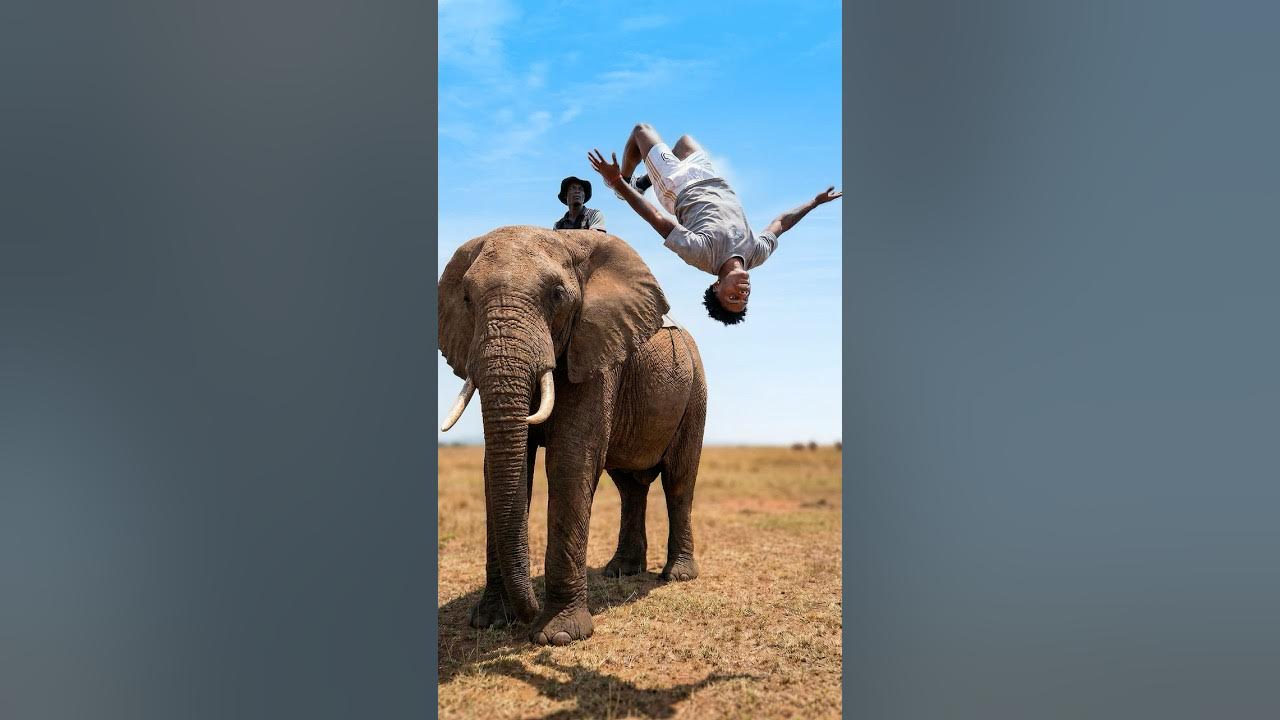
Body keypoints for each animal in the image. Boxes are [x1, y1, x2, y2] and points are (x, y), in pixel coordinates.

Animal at [438, 225, 707, 646]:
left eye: (557, 296)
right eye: (466, 298)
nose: (527, 613)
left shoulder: (598, 353)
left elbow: (570, 459)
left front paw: (559, 636)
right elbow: (500, 469)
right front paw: (490, 621)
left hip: (694, 390)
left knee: (678, 481)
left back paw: (676, 575)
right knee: (630, 486)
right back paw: (621, 571)